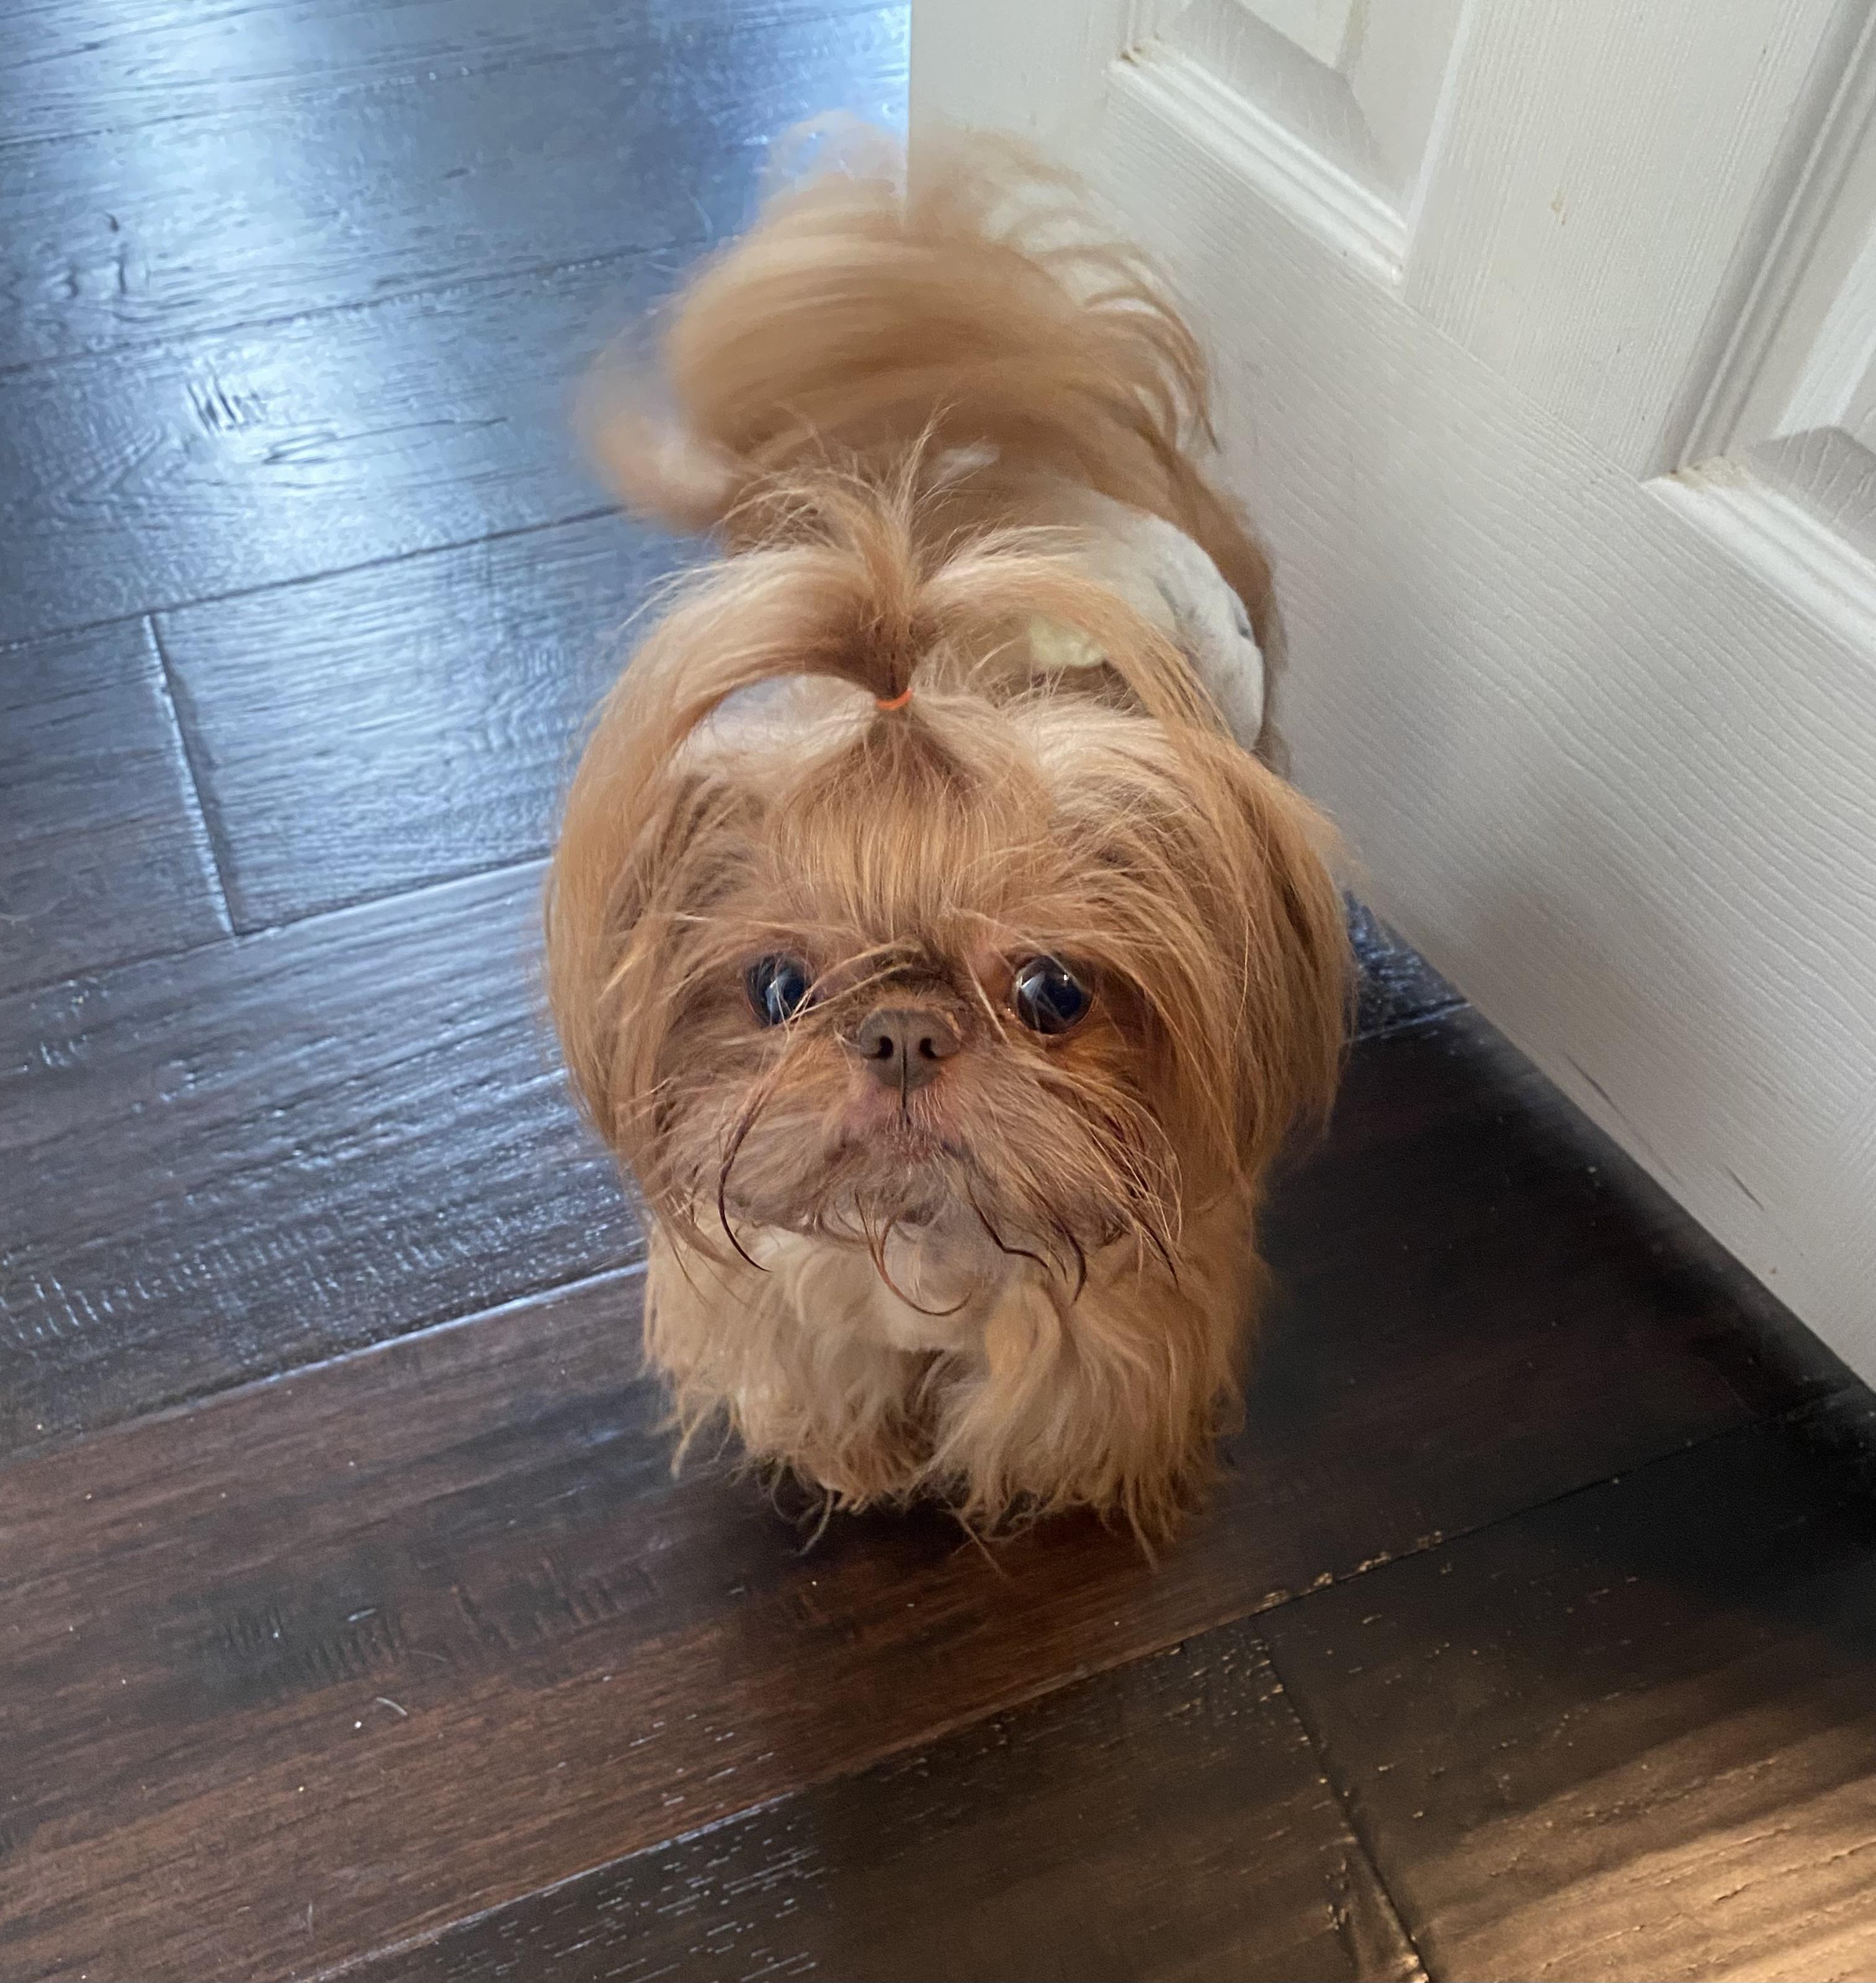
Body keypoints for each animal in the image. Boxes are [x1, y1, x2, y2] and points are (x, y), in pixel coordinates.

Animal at [547, 135, 1351, 1543]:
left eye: (1051, 990)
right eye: (777, 986)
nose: (903, 1030)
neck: (925, 1232)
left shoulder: (1118, 1312)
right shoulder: (793, 1300)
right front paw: (856, 1461)